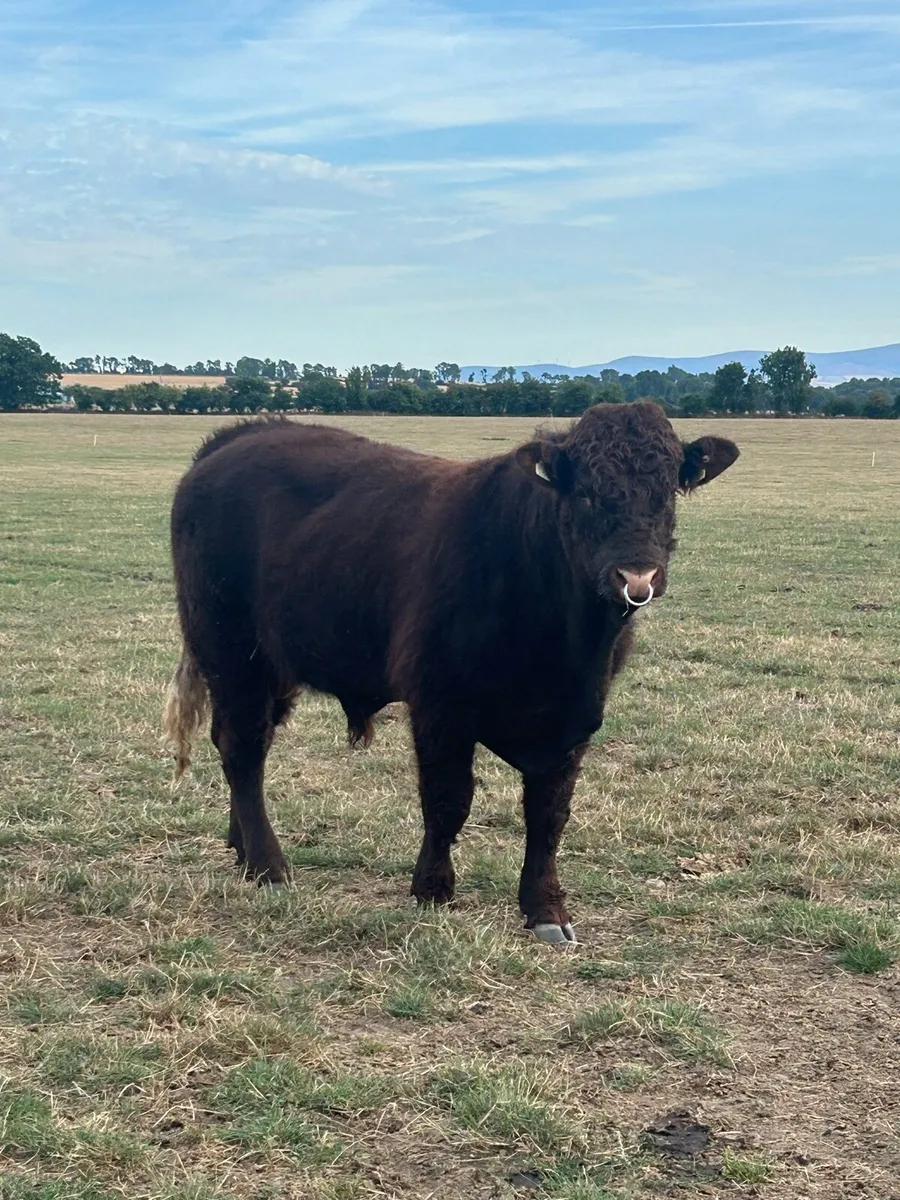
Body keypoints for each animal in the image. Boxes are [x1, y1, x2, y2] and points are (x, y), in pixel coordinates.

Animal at [165, 403, 738, 945]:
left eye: (667, 493)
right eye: (587, 494)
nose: (636, 576)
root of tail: (240, 436)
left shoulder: (575, 719)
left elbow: (548, 814)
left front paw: (545, 909)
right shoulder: (439, 706)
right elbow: (448, 801)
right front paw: (433, 889)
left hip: (270, 669)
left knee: (246, 746)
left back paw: (241, 847)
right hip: (230, 652)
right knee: (242, 749)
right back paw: (269, 866)